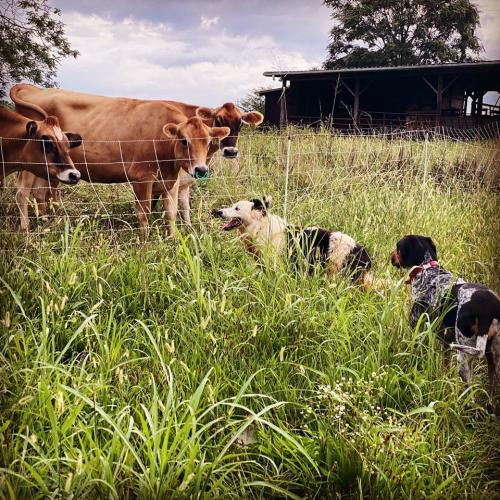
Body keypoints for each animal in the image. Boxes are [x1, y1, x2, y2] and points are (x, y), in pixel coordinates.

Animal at [9, 84, 229, 240]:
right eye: (184, 140)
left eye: (208, 141)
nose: (201, 169)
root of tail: (34, 89)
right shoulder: (141, 178)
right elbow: (144, 213)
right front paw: (144, 242)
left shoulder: (170, 180)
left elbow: (171, 212)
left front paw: (173, 240)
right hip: (28, 165)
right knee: (22, 193)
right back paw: (26, 229)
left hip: (47, 168)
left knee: (40, 193)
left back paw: (47, 224)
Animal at [210, 196, 372, 290]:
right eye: (232, 205)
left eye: (237, 208)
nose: (216, 211)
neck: (262, 228)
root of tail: (361, 251)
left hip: (336, 274)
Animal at [390, 236, 500, 412]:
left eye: (397, 247)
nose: (390, 256)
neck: (427, 268)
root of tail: (488, 310)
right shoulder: (445, 341)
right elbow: (445, 365)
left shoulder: (417, 328)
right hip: (494, 355)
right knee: (491, 388)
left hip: (463, 356)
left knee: (470, 392)